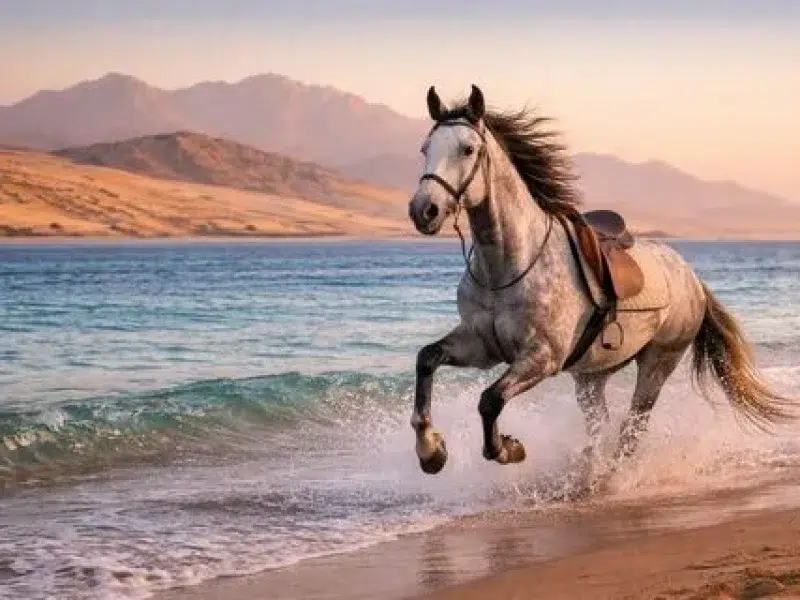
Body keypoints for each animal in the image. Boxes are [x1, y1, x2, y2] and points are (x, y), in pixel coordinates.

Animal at [407, 84, 795, 487]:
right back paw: (591, 472)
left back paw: (611, 478)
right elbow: (427, 359)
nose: (424, 211)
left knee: (632, 428)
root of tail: (690, 276)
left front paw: (507, 449)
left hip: (658, 362)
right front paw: (431, 452)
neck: (506, 266)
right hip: (592, 375)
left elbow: (489, 400)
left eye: (468, 149)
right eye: (425, 148)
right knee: (601, 429)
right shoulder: (482, 345)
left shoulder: (541, 358)